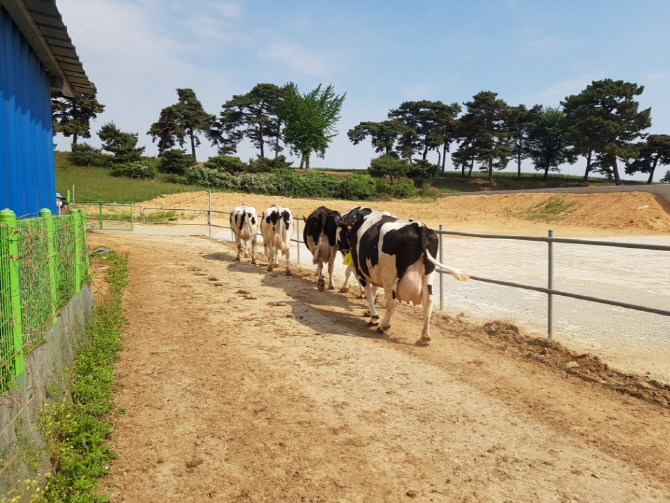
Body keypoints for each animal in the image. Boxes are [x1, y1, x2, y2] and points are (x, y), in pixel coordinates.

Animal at [334, 210, 468, 346]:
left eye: (340, 230)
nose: (338, 246)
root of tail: (418, 226)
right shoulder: (374, 271)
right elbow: (374, 291)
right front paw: (369, 312)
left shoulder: (362, 272)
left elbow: (370, 295)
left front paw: (374, 318)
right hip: (428, 274)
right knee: (428, 301)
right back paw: (425, 337)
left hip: (390, 275)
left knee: (391, 302)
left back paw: (383, 326)